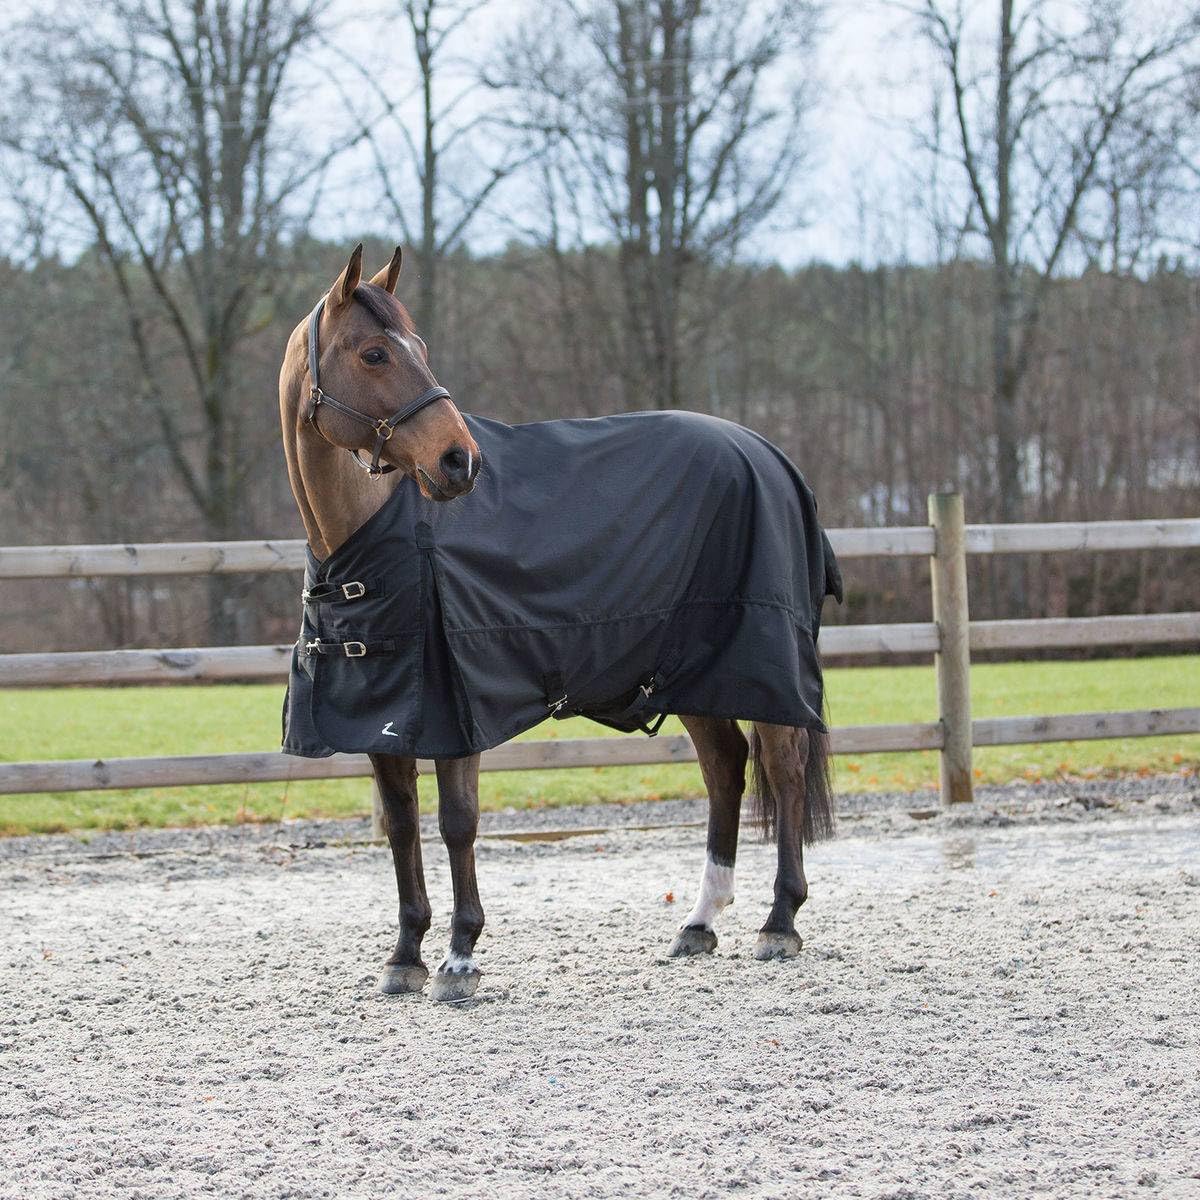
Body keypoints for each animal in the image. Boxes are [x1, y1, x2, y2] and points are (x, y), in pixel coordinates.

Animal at [278, 244, 840, 1002]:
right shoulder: (386, 723)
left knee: (782, 769)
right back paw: (698, 923)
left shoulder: (457, 714)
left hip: (762, 666)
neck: (375, 534)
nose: (459, 460)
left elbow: (458, 824)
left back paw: (779, 922)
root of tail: (770, 455)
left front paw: (459, 958)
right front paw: (405, 956)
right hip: (696, 674)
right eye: (373, 353)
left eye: (418, 347)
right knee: (726, 769)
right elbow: (401, 828)